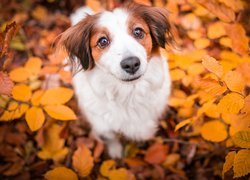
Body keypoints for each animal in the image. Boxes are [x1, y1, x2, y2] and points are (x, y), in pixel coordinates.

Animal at [60, 2, 174, 158]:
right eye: (103, 41)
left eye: (138, 32)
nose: (131, 64)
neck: (129, 94)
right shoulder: (103, 125)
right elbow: (111, 137)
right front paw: (115, 152)